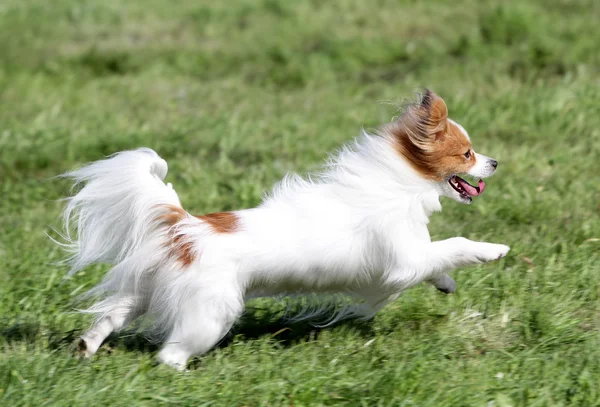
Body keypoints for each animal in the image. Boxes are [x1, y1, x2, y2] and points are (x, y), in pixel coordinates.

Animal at [55, 91, 510, 372]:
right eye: (467, 154)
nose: (495, 162)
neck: (399, 183)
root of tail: (187, 226)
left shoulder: (411, 256)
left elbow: (438, 262)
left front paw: (446, 284)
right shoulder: (404, 262)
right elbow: (452, 245)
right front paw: (493, 250)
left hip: (148, 288)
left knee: (112, 315)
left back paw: (86, 347)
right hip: (210, 313)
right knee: (170, 354)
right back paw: (185, 374)